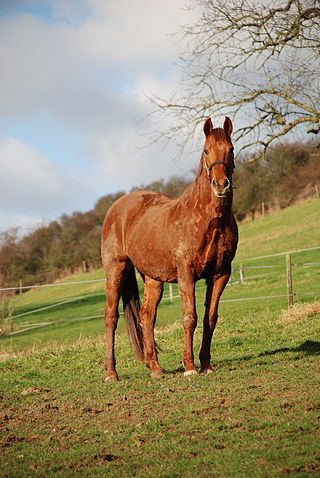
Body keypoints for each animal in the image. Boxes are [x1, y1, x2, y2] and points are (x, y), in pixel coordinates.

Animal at [101, 116, 239, 380]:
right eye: (206, 150)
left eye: (231, 149)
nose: (221, 185)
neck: (208, 220)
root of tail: (116, 208)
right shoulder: (186, 274)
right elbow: (190, 318)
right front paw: (190, 366)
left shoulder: (220, 274)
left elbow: (210, 318)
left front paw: (206, 364)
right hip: (116, 268)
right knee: (111, 316)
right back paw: (112, 373)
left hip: (153, 277)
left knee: (147, 316)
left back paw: (155, 368)